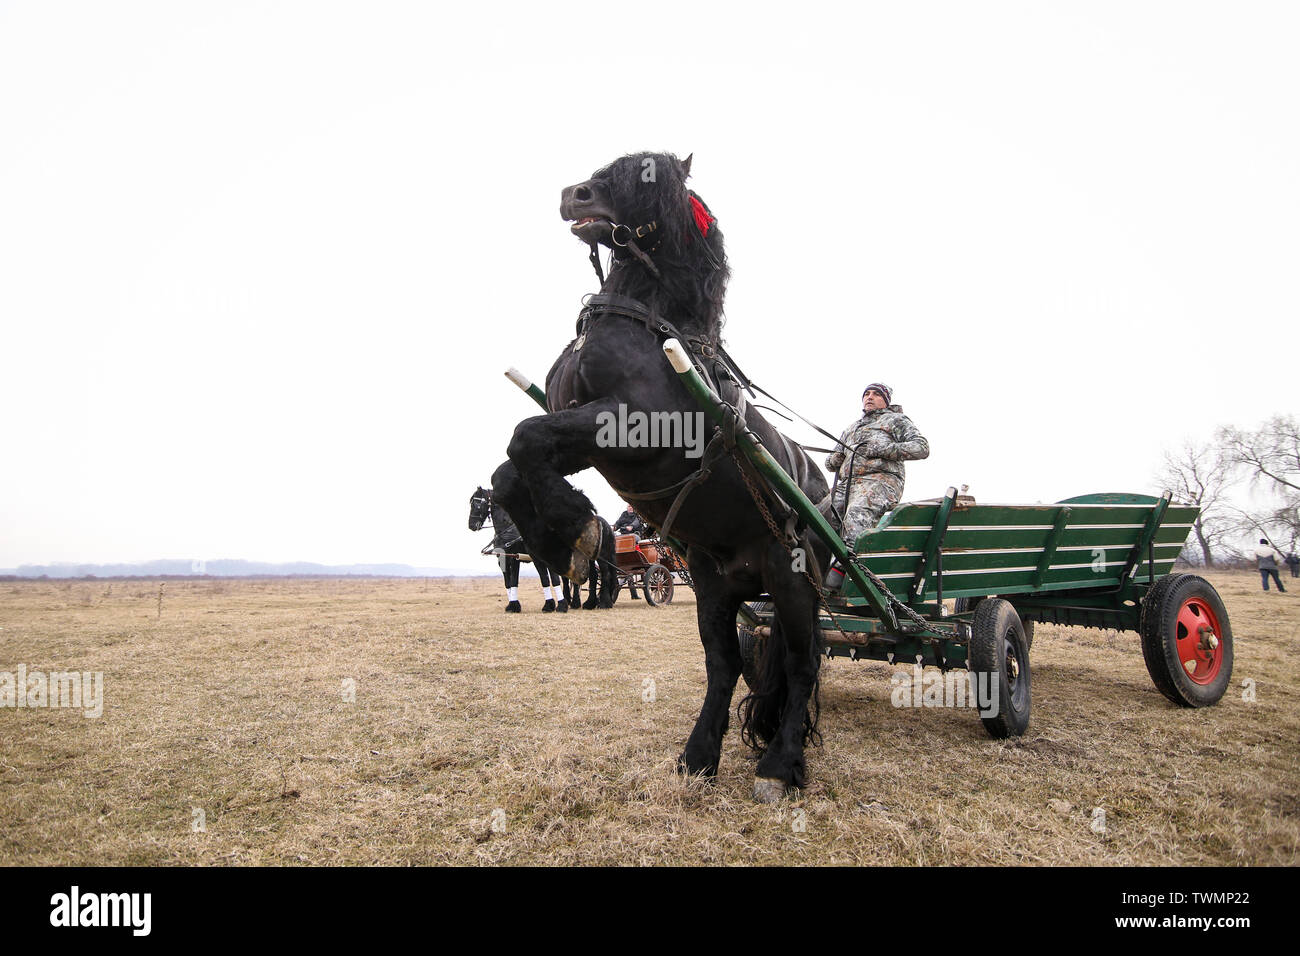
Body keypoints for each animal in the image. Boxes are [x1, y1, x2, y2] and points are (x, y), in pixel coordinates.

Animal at [491, 152, 831, 802]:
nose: (574, 195)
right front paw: (560, 538)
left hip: (794, 580)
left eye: (645, 174)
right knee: (725, 666)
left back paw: (779, 767)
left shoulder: (631, 428)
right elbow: (513, 464)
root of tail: (824, 494)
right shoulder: (581, 436)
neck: (647, 328)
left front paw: (572, 532)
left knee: (803, 666)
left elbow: (525, 437)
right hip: (715, 584)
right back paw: (698, 757)